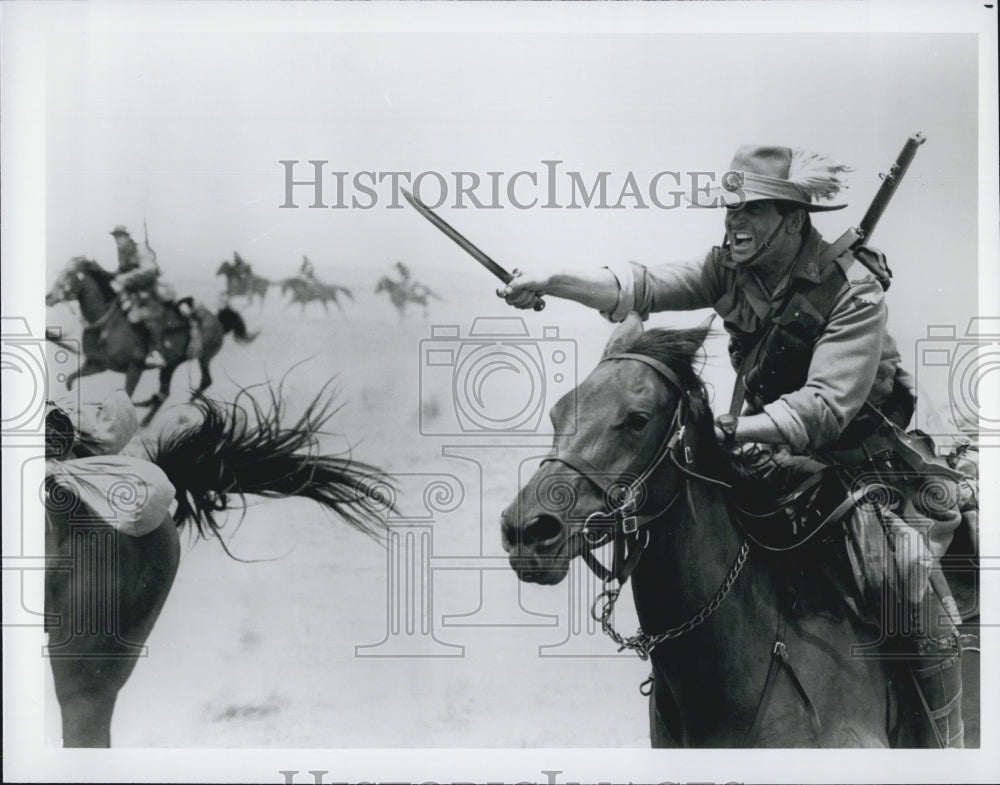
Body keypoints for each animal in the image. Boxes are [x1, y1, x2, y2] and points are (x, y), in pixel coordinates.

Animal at [47, 258, 258, 426]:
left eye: (70, 274)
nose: (48, 296)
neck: (107, 324)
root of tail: (218, 321)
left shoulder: (135, 367)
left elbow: (127, 395)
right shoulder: (97, 364)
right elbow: (70, 380)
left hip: (203, 357)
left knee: (205, 380)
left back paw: (184, 409)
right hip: (170, 365)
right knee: (165, 393)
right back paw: (147, 420)